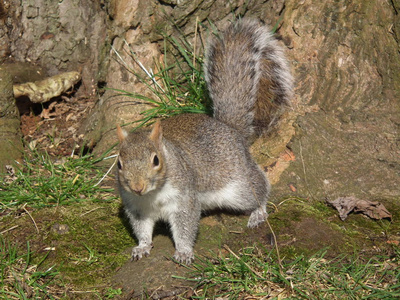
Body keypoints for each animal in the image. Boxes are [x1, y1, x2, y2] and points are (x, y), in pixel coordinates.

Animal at [115, 18, 294, 264]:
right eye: (119, 164)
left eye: (156, 160)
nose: (137, 187)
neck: (152, 196)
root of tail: (229, 128)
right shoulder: (136, 206)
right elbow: (142, 229)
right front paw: (142, 247)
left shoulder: (185, 199)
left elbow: (185, 227)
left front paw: (183, 252)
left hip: (237, 185)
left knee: (258, 188)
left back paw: (258, 211)